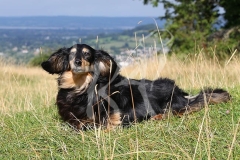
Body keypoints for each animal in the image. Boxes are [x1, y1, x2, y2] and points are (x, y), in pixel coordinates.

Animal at [41, 43, 231, 130]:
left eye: (87, 54)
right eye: (72, 54)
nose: (78, 61)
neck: (82, 88)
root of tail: (179, 92)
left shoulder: (112, 115)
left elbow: (95, 124)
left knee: (174, 112)